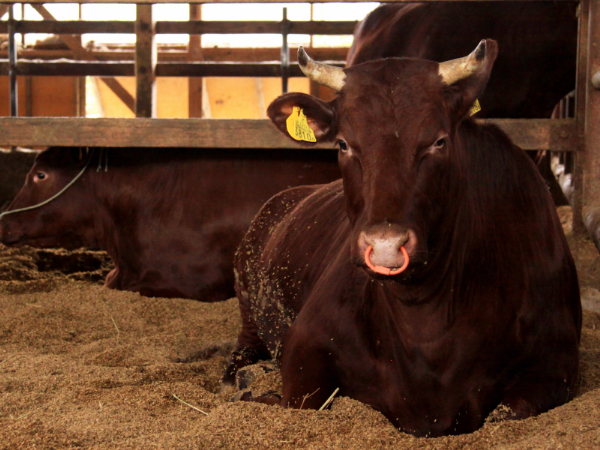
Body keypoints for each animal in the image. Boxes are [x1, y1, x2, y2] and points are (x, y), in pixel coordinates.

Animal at [224, 41, 580, 436]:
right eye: (344, 144)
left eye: (439, 141)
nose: (385, 246)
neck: (426, 328)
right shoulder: (305, 341)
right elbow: (300, 402)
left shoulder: (558, 364)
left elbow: (511, 411)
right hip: (247, 297)